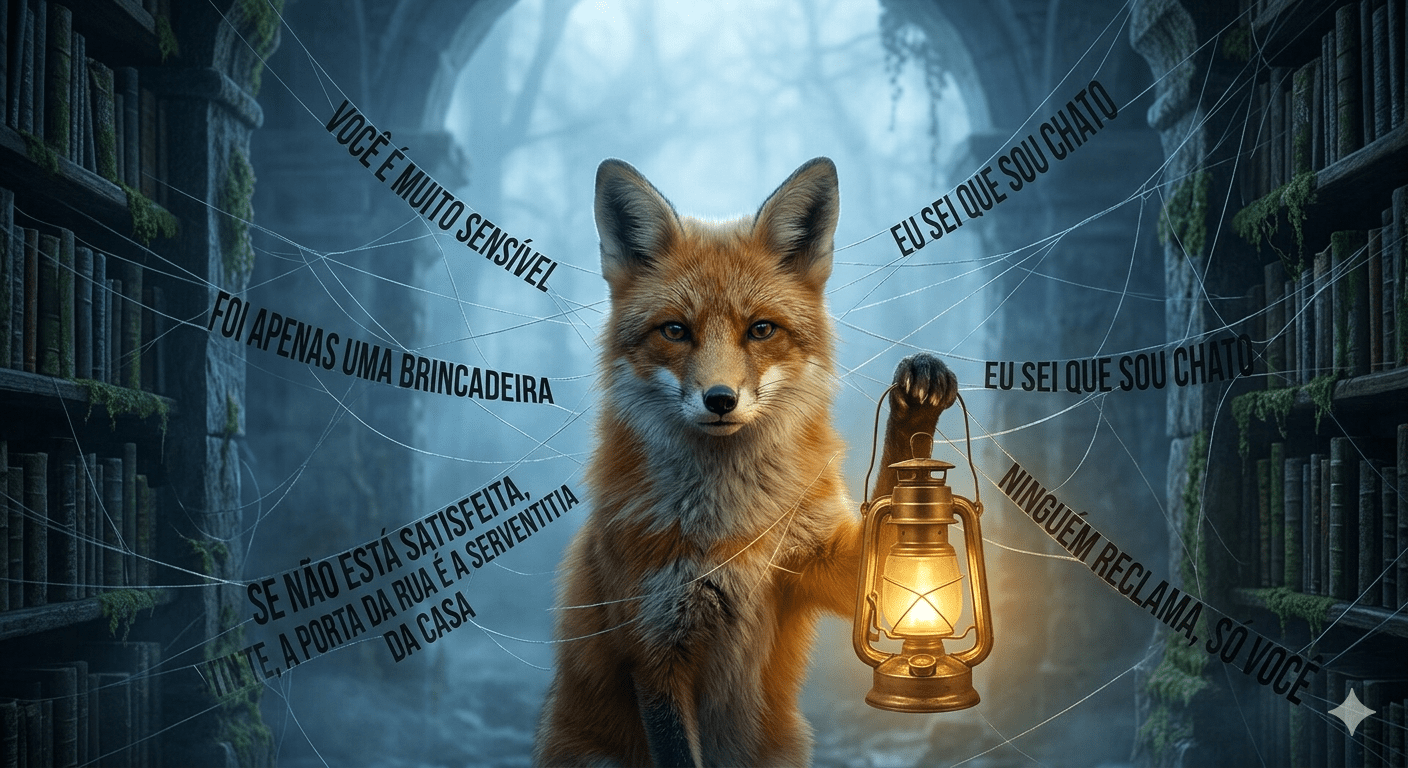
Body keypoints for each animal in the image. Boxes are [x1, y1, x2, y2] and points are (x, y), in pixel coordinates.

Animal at [533, 157, 958, 767]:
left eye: (760, 329)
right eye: (675, 330)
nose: (719, 399)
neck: (733, 525)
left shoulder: (823, 566)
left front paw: (916, 410)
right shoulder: (655, 655)